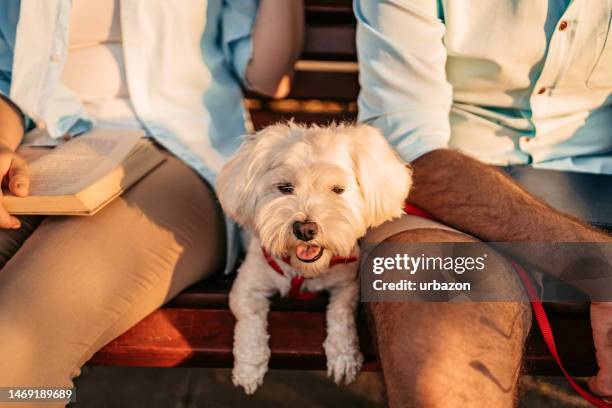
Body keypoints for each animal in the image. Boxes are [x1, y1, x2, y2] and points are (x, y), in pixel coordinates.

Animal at [215, 122, 412, 396]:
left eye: (338, 190)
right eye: (285, 188)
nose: (305, 229)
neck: (304, 271)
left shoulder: (348, 284)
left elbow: (341, 314)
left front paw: (343, 356)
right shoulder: (247, 287)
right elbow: (250, 324)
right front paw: (248, 369)